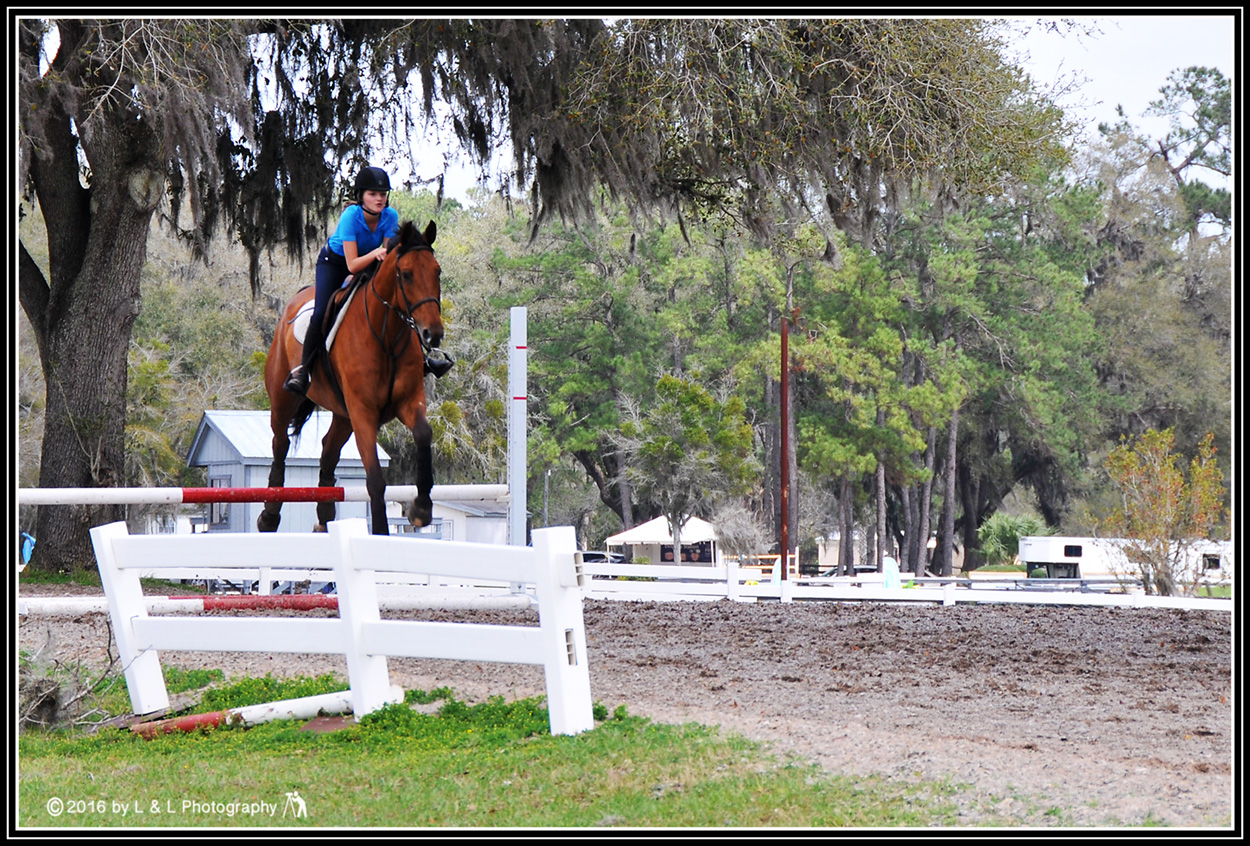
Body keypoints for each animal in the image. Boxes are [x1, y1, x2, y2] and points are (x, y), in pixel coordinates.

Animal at [257, 219, 444, 536]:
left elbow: (422, 434)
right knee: (280, 443)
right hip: (284, 399)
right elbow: (375, 481)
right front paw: (380, 532)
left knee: (328, 451)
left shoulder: (408, 401)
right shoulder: (363, 412)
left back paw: (324, 518)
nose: (434, 334)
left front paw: (421, 509)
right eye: (406, 275)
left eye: (437, 272)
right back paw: (270, 515)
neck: (386, 334)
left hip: (342, 414)